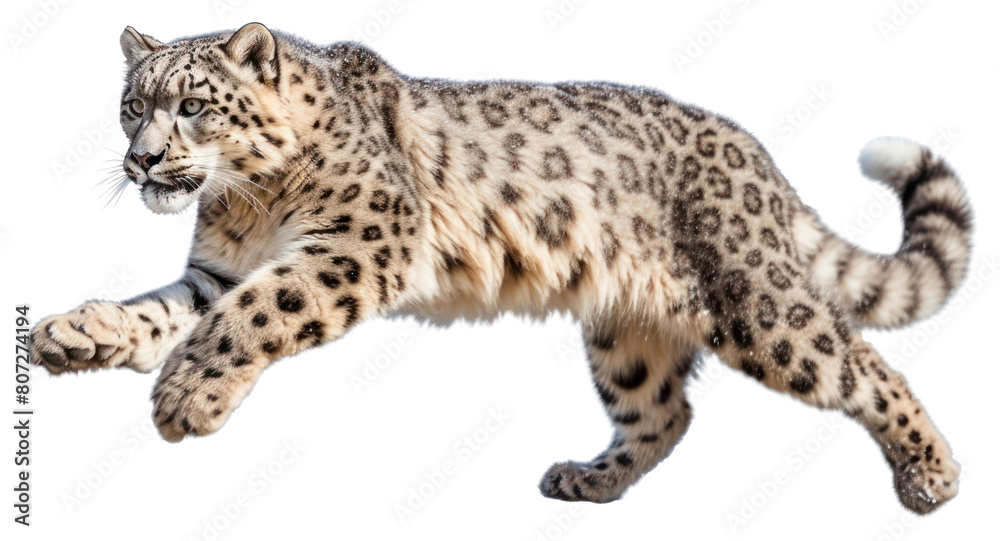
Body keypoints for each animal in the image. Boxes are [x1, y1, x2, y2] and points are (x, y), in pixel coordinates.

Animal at [30, 23, 973, 514]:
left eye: (192, 105)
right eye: (130, 107)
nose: (143, 161)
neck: (247, 205)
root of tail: (758, 155)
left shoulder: (357, 245)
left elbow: (255, 314)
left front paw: (186, 399)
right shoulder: (221, 270)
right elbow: (169, 309)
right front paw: (78, 332)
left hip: (762, 306)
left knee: (865, 366)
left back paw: (932, 475)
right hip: (625, 334)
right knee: (664, 412)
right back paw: (588, 479)